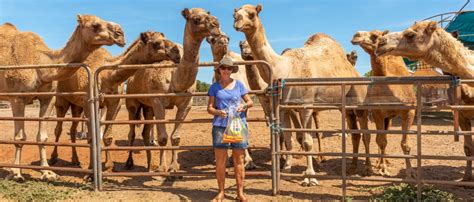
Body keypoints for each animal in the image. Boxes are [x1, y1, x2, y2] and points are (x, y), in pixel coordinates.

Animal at [0, 15, 125, 181]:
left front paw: (48, 173)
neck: (40, 65)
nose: (120, 33)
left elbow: (42, 137)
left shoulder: (48, 98)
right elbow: (20, 138)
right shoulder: (17, 98)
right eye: (95, 25)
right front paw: (16, 173)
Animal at [125, 7, 223, 173]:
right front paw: (162, 168)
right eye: (196, 19)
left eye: (208, 13)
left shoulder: (186, 104)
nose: (216, 24)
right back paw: (129, 163)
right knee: (132, 132)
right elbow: (163, 137)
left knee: (145, 132)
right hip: (132, 102)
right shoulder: (158, 102)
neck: (174, 78)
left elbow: (175, 137)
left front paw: (174, 167)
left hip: (148, 106)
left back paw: (149, 165)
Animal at [233, 3, 370, 186]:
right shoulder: (284, 107)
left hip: (359, 97)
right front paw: (286, 169)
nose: (237, 21)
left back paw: (368, 169)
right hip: (344, 105)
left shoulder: (306, 106)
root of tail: (353, 70)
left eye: (252, 14)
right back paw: (352, 168)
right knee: (355, 133)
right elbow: (288, 137)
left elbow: (307, 141)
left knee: (365, 133)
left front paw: (310, 177)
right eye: (235, 13)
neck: (285, 69)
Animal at [352, 29, 414, 178]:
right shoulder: (377, 113)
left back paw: (383, 162)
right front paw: (383, 169)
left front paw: (410, 172)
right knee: (376, 138)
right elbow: (381, 141)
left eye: (375, 35)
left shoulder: (409, 111)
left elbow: (405, 144)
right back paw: (377, 165)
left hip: (389, 119)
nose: (356, 35)